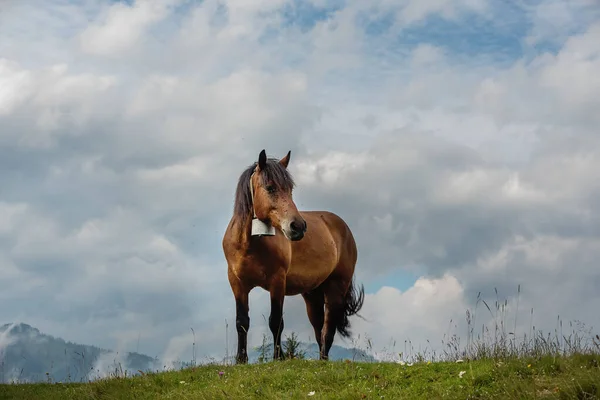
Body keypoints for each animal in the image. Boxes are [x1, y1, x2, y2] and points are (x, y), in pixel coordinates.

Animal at [223, 148, 364, 362]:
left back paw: (324, 360)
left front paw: (278, 358)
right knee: (319, 328)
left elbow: (275, 321)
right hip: (312, 294)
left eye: (290, 189)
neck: (250, 244)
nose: (298, 226)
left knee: (328, 329)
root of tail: (342, 227)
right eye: (270, 188)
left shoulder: (277, 281)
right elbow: (242, 322)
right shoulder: (237, 283)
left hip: (335, 288)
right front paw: (241, 360)